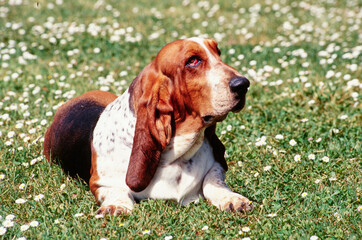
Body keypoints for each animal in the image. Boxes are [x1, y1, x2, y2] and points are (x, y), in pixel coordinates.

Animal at [43, 38, 253, 216]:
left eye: (218, 52)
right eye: (193, 61)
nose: (243, 84)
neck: (176, 156)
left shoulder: (216, 167)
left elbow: (213, 180)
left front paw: (233, 198)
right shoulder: (101, 182)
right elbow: (116, 191)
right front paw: (116, 207)